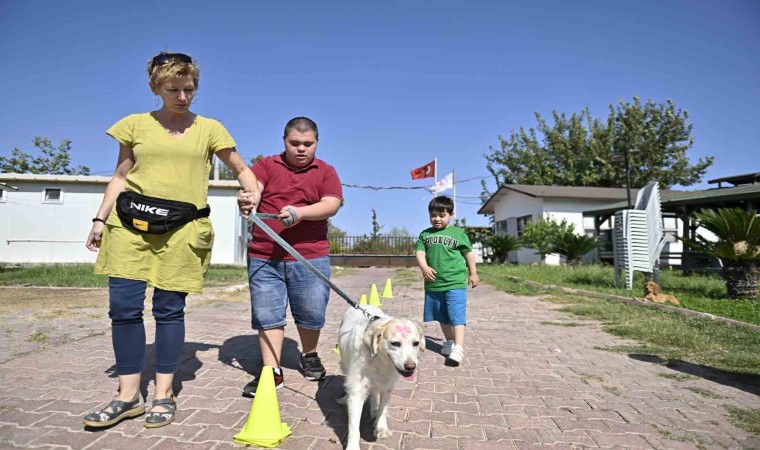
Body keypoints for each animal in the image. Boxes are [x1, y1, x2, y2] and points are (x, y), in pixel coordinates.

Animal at [336, 302, 424, 450]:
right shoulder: (357, 391)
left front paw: (381, 427)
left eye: (416, 343)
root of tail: (363, 304)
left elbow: (384, 409)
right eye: (395, 344)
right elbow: (354, 426)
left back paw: (373, 410)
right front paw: (353, 446)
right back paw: (344, 399)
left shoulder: (387, 386)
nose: (411, 367)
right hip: (345, 365)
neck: (379, 359)